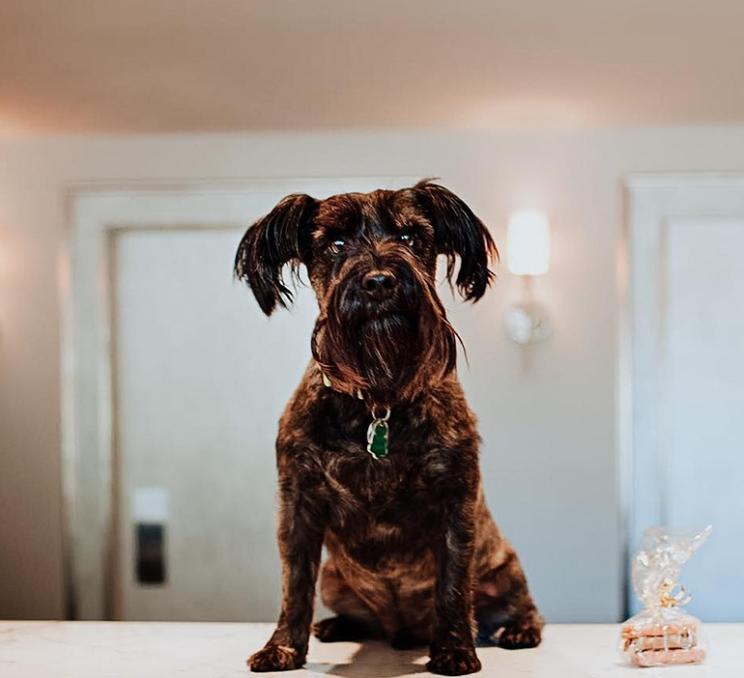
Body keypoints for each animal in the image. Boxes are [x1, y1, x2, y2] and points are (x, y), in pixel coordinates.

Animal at [235, 179, 544, 676]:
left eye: (410, 238)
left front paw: (455, 649)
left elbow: (453, 585)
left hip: (506, 570)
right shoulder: (298, 506)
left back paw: (518, 629)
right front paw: (282, 648)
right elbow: (293, 585)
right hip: (334, 579)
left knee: (521, 606)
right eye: (335, 244)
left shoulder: (455, 502)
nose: (380, 280)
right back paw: (335, 625)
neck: (378, 400)